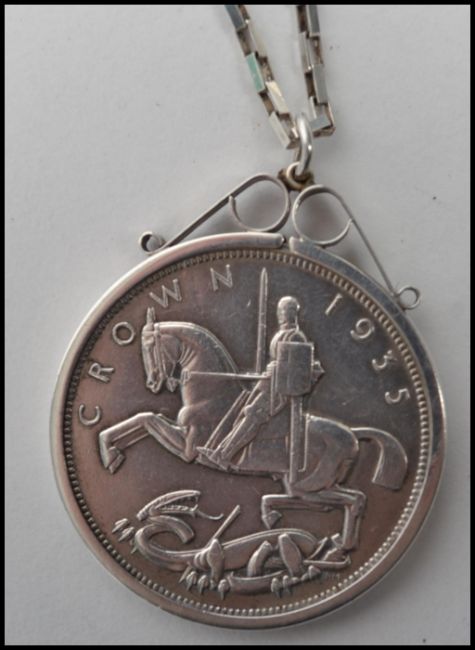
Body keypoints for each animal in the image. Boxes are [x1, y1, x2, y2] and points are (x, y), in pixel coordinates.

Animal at [99, 308, 408, 562]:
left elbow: (147, 419)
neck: (210, 393)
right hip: (304, 484)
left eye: (150, 346)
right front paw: (110, 449)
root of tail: (352, 432)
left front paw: (109, 452)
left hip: (309, 484)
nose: (152, 383)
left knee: (349, 501)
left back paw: (331, 541)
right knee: (333, 502)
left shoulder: (187, 447)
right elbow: (142, 419)